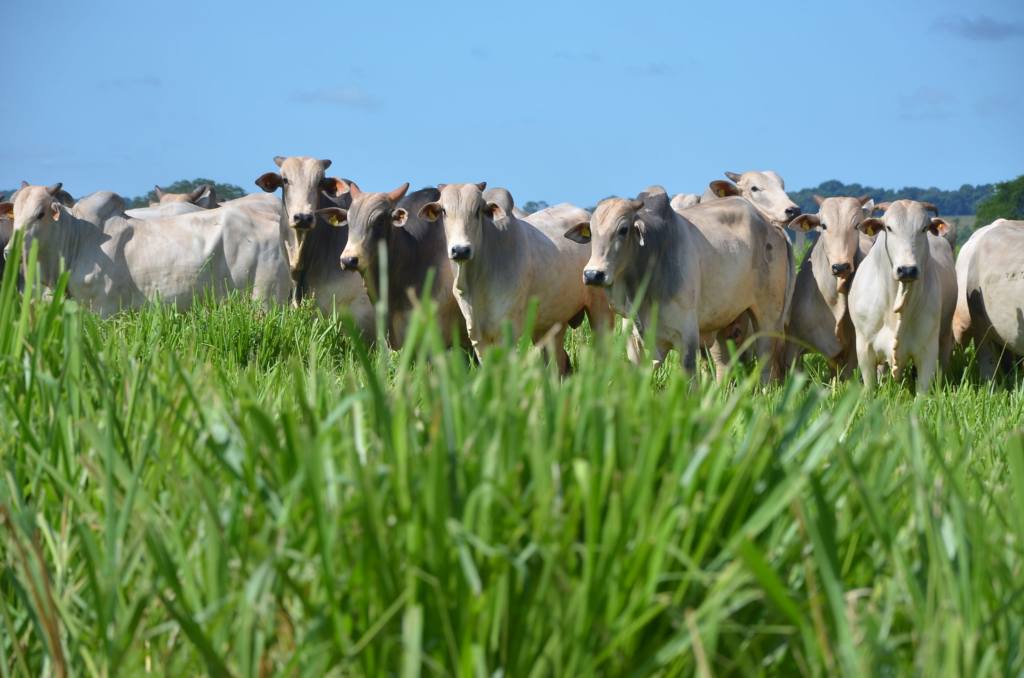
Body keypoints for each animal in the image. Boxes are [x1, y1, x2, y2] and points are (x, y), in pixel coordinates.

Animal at [843, 200, 954, 393]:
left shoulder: (928, 350)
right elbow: (870, 386)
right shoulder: (864, 348)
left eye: (924, 228)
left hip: (945, 336)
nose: (907, 270)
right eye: (889, 227)